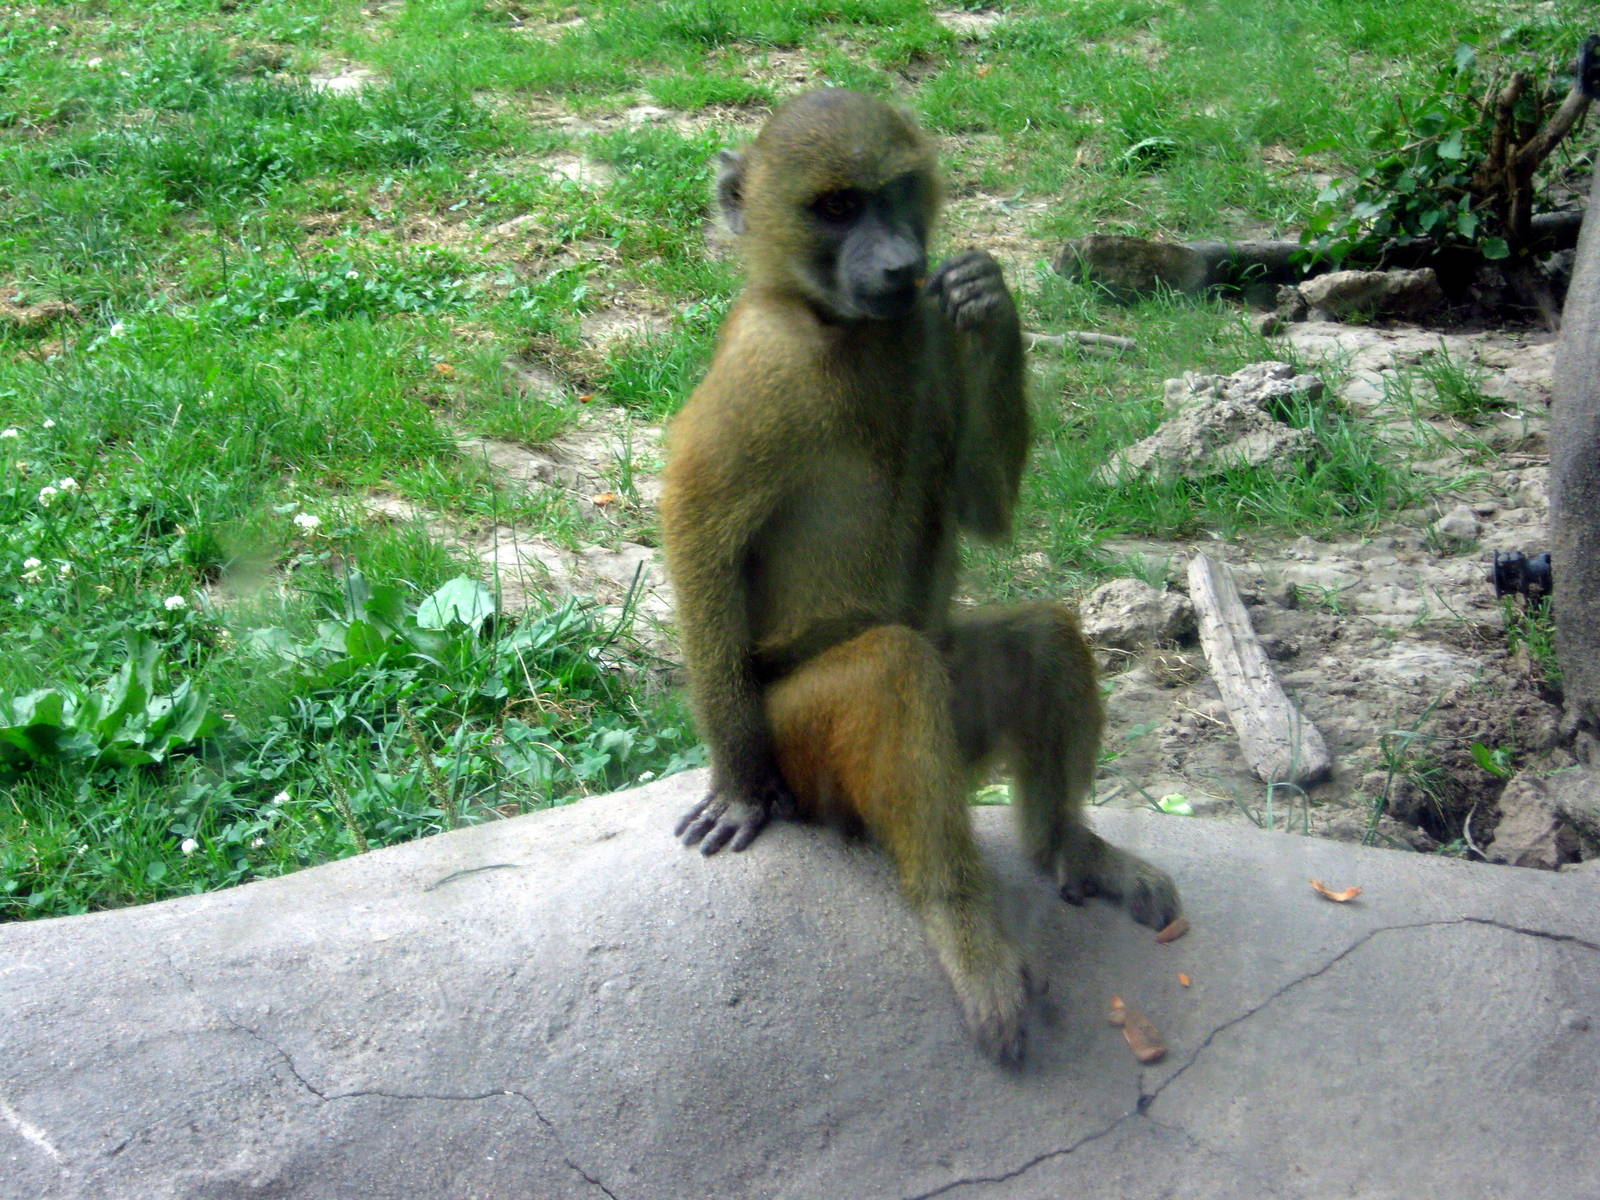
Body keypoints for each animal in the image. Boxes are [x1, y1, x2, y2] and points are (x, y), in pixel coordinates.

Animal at [658, 89, 1180, 1063]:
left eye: (896, 193)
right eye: (836, 206)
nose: (903, 262)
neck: (840, 329)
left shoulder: (923, 334)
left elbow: (979, 508)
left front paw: (989, 300)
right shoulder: (759, 373)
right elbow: (698, 537)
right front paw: (736, 789)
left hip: (958, 716)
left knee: (1041, 641)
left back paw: (1070, 849)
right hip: (806, 754)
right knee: (889, 672)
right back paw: (963, 930)